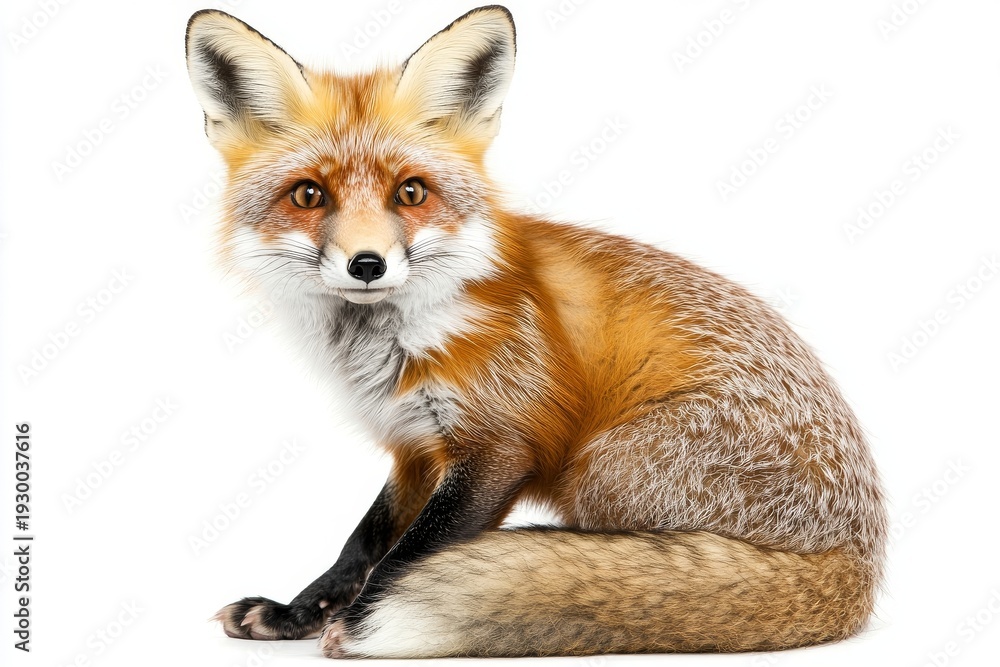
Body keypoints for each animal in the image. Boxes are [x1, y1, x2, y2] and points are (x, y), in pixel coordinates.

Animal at [185, 5, 887, 659]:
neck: (393, 344)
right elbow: (362, 542)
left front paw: (355, 623)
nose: (367, 264)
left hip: (601, 467)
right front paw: (296, 613)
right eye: (309, 196)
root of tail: (863, 557)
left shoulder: (503, 441)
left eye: (410, 192)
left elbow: (407, 554)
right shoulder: (415, 445)